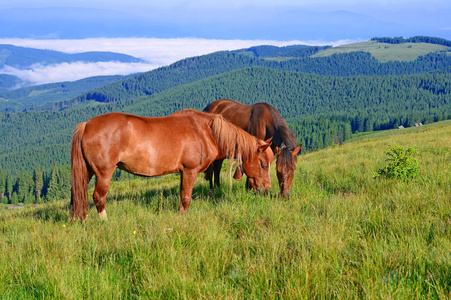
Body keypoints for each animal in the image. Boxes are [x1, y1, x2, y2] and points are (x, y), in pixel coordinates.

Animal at [70, 109, 274, 220]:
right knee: (98, 197)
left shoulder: (183, 172)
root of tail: (87, 125)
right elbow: (186, 197)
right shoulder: (190, 171)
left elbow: (182, 195)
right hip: (104, 172)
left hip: (88, 171)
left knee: (79, 195)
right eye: (264, 165)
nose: (267, 189)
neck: (206, 132)